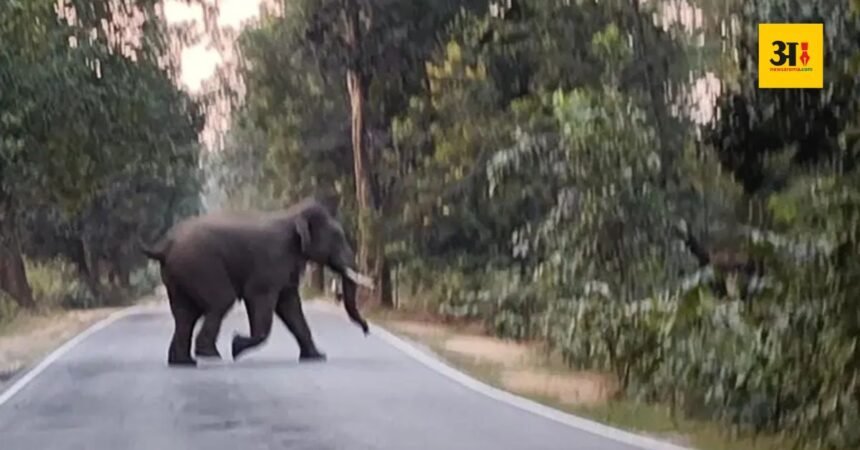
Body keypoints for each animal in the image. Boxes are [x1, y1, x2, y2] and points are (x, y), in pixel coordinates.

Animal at [140, 197, 373, 367]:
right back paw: (209, 354)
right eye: (338, 237)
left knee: (185, 314)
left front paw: (318, 357)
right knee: (220, 301)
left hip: (178, 274)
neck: (291, 214)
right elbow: (261, 299)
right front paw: (236, 346)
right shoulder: (271, 262)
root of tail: (164, 245)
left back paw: (184, 362)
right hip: (200, 265)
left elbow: (290, 306)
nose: (366, 330)